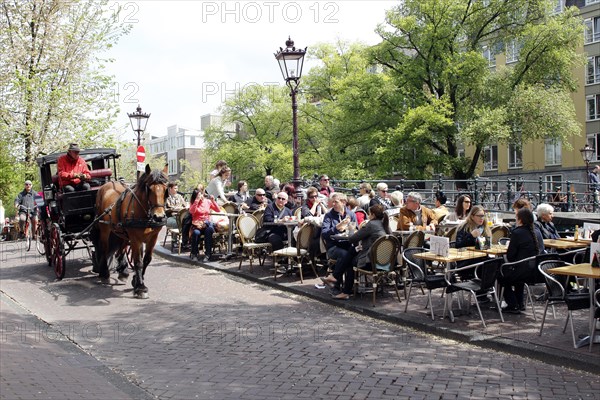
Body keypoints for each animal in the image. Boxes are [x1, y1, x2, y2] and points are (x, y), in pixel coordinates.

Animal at [93, 164, 169, 298]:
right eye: (149, 189)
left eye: (166, 189)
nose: (159, 216)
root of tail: (108, 184)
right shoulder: (135, 239)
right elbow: (138, 261)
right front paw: (140, 288)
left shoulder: (152, 238)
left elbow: (146, 260)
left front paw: (137, 281)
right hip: (104, 229)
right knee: (104, 249)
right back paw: (104, 274)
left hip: (121, 231)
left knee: (121, 248)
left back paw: (122, 271)